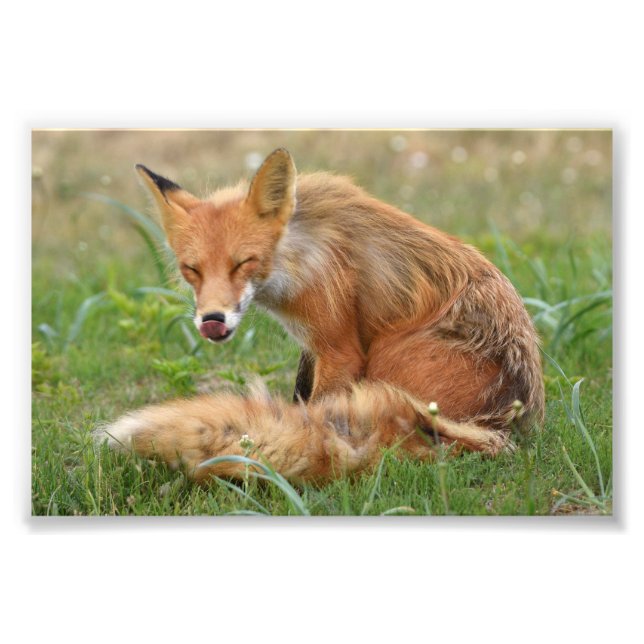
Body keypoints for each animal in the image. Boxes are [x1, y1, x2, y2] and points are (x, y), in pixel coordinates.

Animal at [96, 148, 545, 483]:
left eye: (243, 262)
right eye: (192, 269)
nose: (213, 319)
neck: (294, 255)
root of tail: (504, 424)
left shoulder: (338, 347)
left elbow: (315, 415)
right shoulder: (311, 349)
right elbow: (301, 395)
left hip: (387, 359)